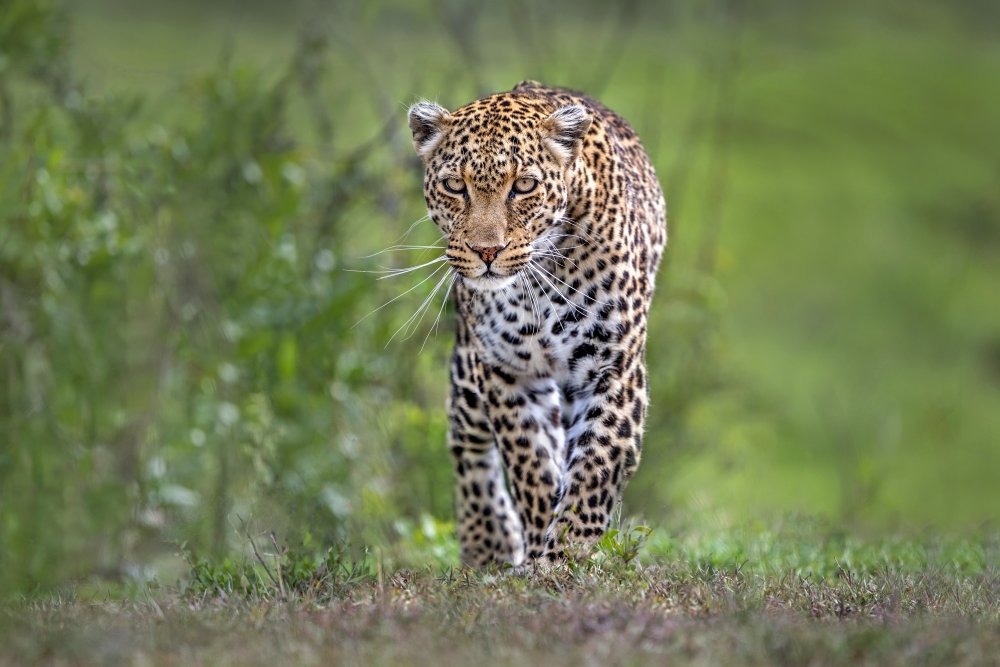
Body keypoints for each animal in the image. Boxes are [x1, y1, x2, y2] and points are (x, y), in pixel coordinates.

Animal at [406, 80, 666, 566]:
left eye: (523, 186)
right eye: (454, 185)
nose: (486, 251)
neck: (536, 290)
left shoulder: (613, 367)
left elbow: (595, 467)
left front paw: (566, 556)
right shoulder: (506, 372)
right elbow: (530, 464)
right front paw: (540, 548)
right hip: (469, 371)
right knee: (467, 442)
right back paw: (487, 545)